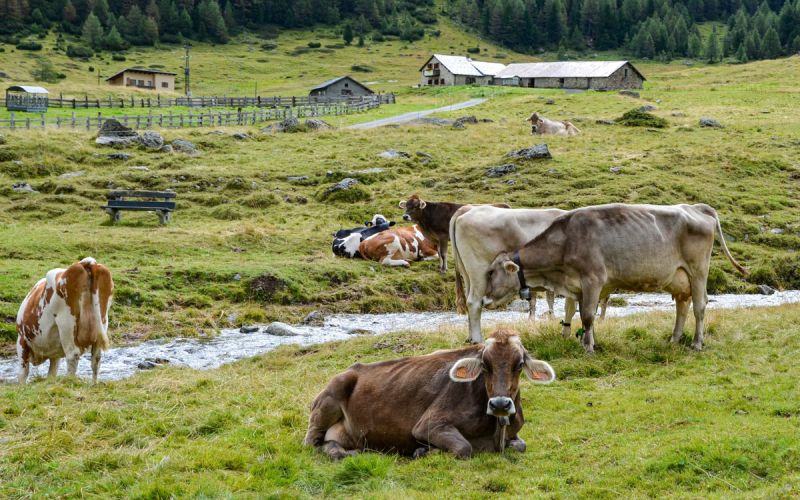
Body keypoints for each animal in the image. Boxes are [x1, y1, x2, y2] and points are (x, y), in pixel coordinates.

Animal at [303, 327, 556, 459]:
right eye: (485, 365)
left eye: (519, 364)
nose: (501, 404)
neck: (495, 430)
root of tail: (351, 368)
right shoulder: (429, 424)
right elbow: (464, 448)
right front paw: (423, 451)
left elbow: (521, 445)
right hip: (330, 396)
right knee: (311, 442)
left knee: (330, 444)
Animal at [482, 204, 748, 353]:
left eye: (491, 272)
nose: (484, 300)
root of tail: (697, 208)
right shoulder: (579, 287)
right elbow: (582, 315)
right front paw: (586, 341)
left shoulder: (593, 280)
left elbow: (588, 316)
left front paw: (588, 348)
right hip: (678, 277)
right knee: (682, 305)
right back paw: (674, 339)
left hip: (698, 270)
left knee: (699, 306)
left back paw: (696, 343)